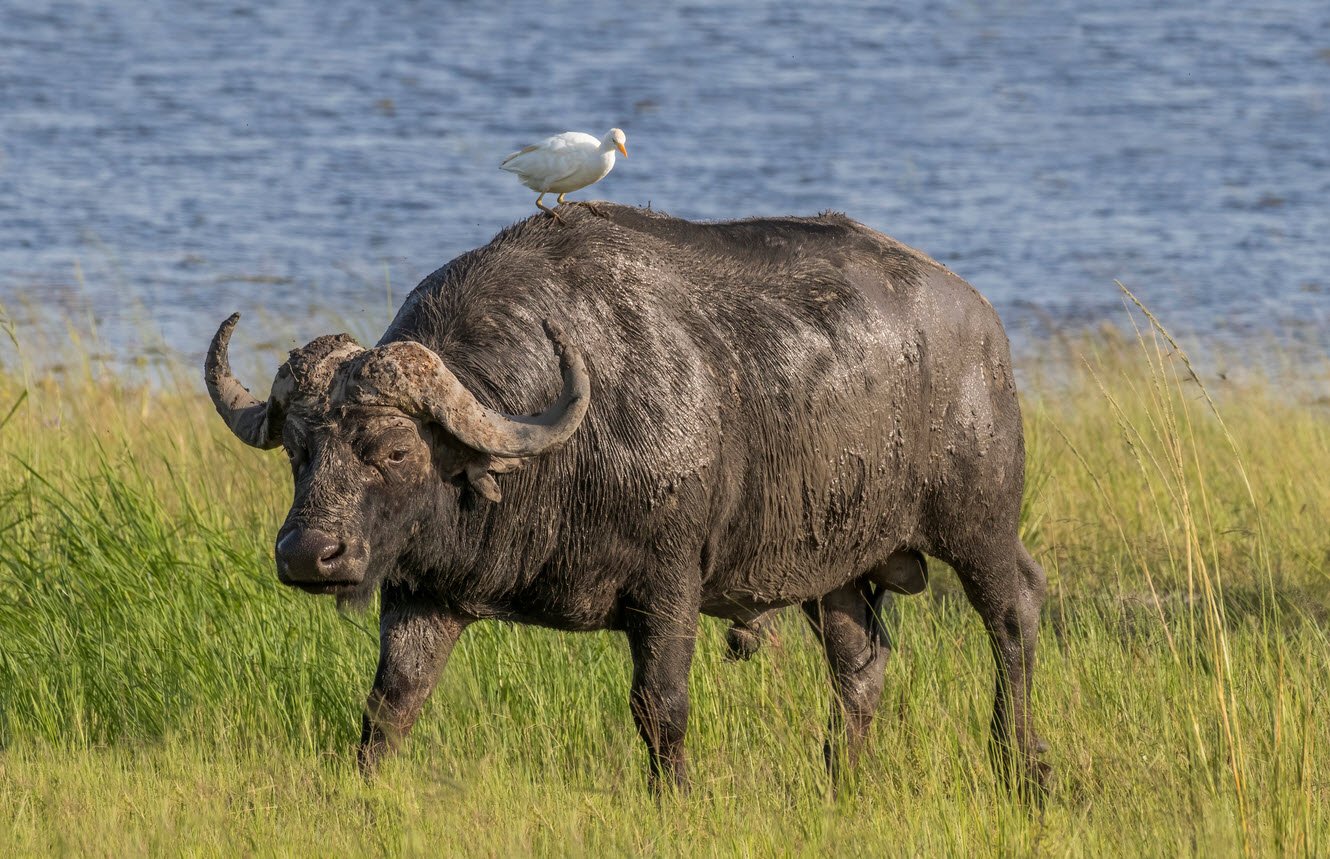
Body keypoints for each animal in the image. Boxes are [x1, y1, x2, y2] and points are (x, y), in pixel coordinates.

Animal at [204, 204, 1048, 797]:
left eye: (395, 451)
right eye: (299, 450)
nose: (308, 555)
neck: (559, 455)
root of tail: (981, 320)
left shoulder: (670, 585)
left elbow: (659, 703)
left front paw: (673, 793)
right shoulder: (423, 592)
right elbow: (391, 701)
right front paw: (364, 788)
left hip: (979, 524)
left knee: (1014, 617)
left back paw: (1022, 764)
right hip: (834, 569)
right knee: (861, 664)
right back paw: (840, 777)